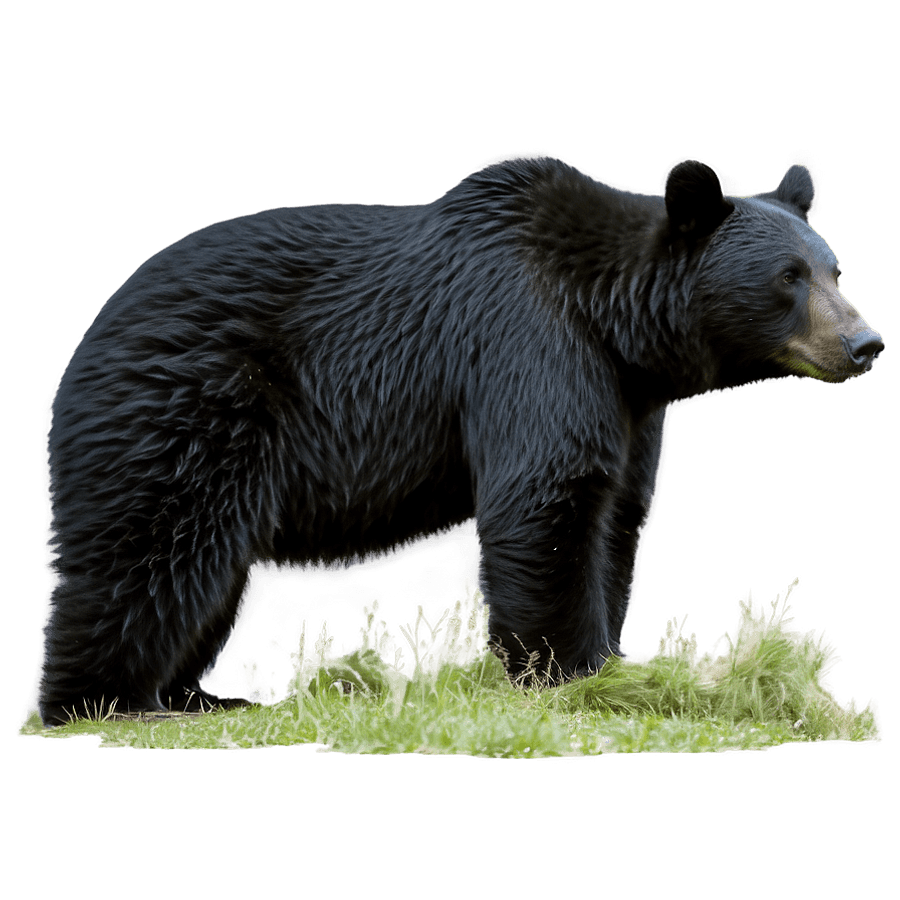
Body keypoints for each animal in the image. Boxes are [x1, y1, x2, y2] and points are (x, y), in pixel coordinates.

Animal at [36, 151, 884, 725]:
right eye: (789, 277)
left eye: (836, 269)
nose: (866, 343)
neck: (614, 323)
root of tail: (85, 345)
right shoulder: (529, 342)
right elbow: (547, 496)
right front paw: (573, 673)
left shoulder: (628, 402)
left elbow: (618, 513)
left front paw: (613, 655)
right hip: (182, 416)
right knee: (149, 555)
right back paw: (103, 701)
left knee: (208, 576)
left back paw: (201, 695)